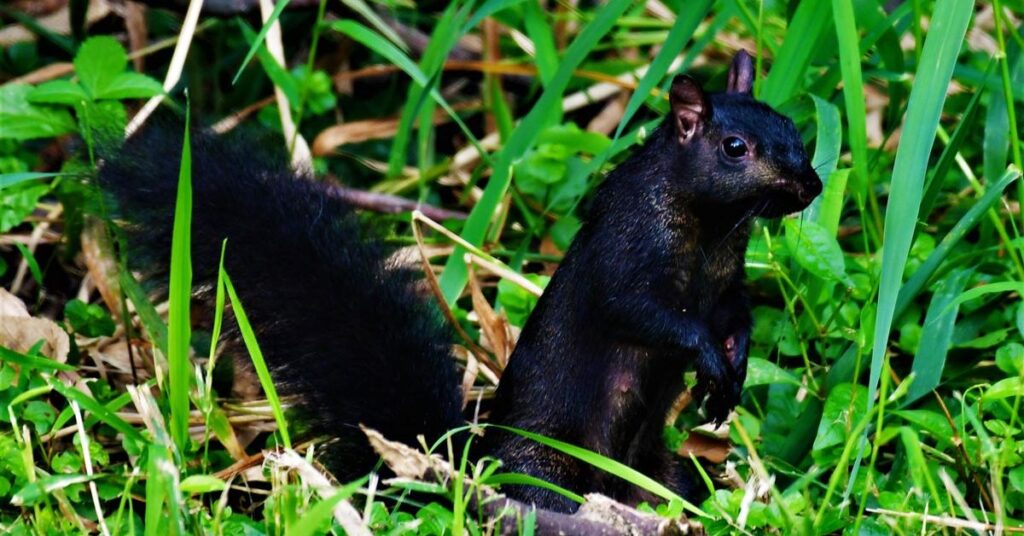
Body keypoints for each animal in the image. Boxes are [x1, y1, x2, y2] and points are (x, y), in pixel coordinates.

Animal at [99, 51, 823, 516]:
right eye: (734, 148)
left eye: (794, 128)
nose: (810, 187)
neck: (712, 230)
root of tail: (472, 477)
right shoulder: (627, 256)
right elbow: (643, 313)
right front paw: (708, 361)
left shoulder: (724, 284)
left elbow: (736, 316)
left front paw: (732, 370)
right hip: (547, 473)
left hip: (658, 469)